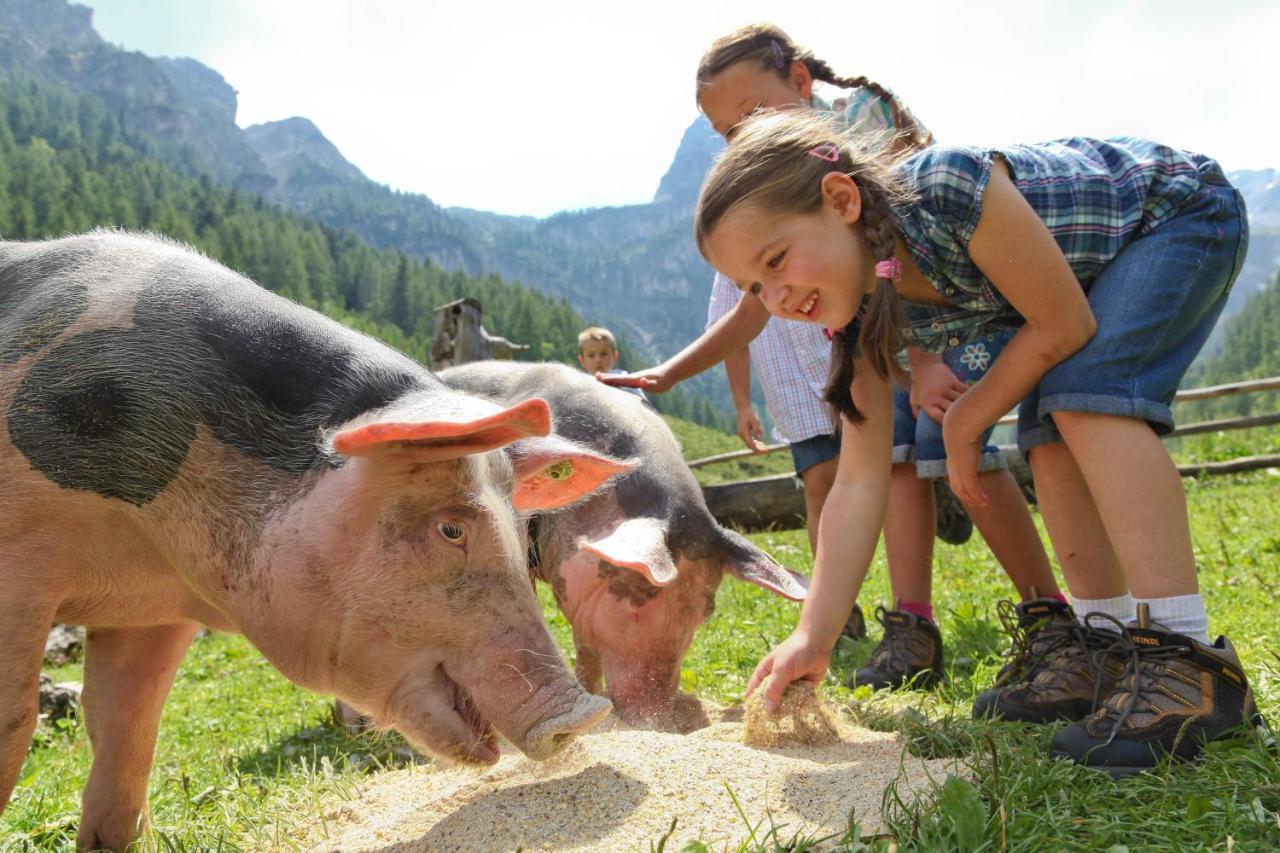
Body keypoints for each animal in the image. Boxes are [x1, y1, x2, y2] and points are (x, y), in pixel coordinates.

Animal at [0, 233, 629, 850]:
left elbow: (128, 725)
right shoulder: (21, 569)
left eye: (520, 528)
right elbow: (17, 718)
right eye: (451, 528)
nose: (587, 712)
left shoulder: (155, 609)